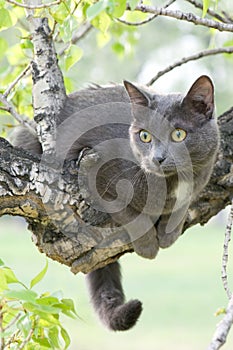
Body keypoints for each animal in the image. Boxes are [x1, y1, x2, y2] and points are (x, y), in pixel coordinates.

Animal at [10, 76, 218, 330]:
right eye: (145, 136)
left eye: (179, 134)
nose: (157, 158)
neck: (171, 182)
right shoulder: (94, 170)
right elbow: (129, 213)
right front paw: (149, 246)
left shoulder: (202, 175)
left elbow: (182, 205)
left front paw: (168, 233)